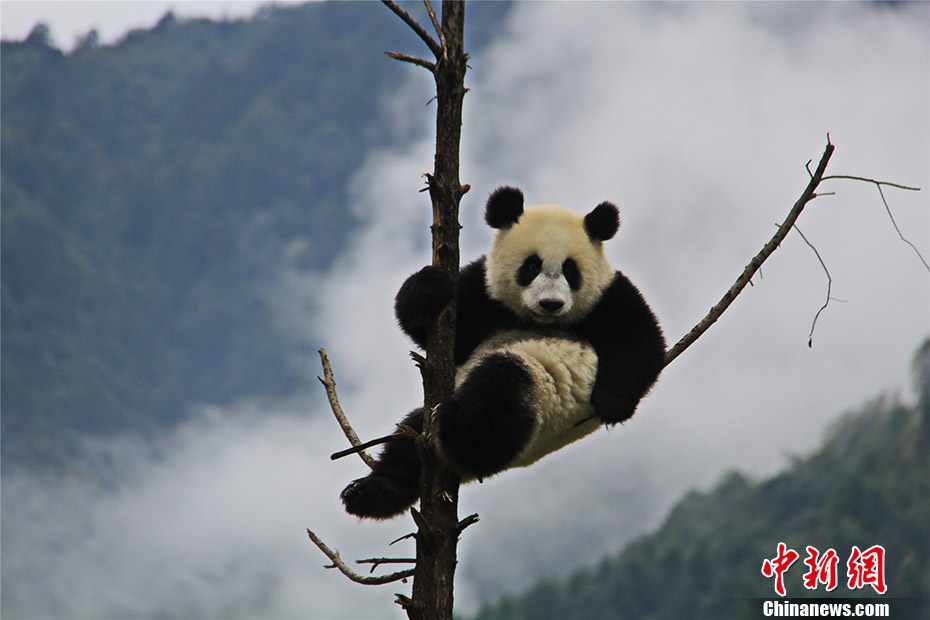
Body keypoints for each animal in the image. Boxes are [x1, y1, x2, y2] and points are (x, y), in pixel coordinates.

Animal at [340, 186, 668, 520]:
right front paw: (430, 286)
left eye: (570, 270)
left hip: (539, 398)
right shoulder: (486, 294)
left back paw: (459, 433)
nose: (551, 303)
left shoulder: (609, 295)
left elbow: (642, 340)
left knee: (499, 389)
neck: (537, 321)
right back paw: (372, 493)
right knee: (408, 440)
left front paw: (613, 404)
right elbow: (442, 331)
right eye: (531, 266)